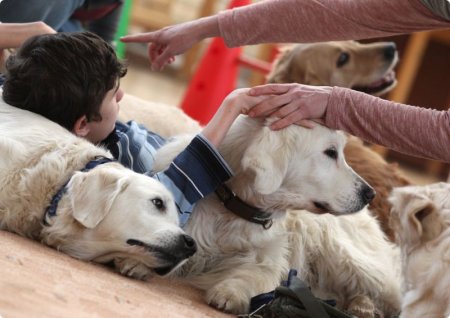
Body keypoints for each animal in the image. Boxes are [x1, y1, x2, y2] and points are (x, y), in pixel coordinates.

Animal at [118, 115, 402, 316]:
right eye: (331, 152)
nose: (369, 193)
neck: (232, 208)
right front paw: (139, 261)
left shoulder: (270, 262)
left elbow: (255, 275)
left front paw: (230, 292)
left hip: (346, 256)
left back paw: (365, 307)